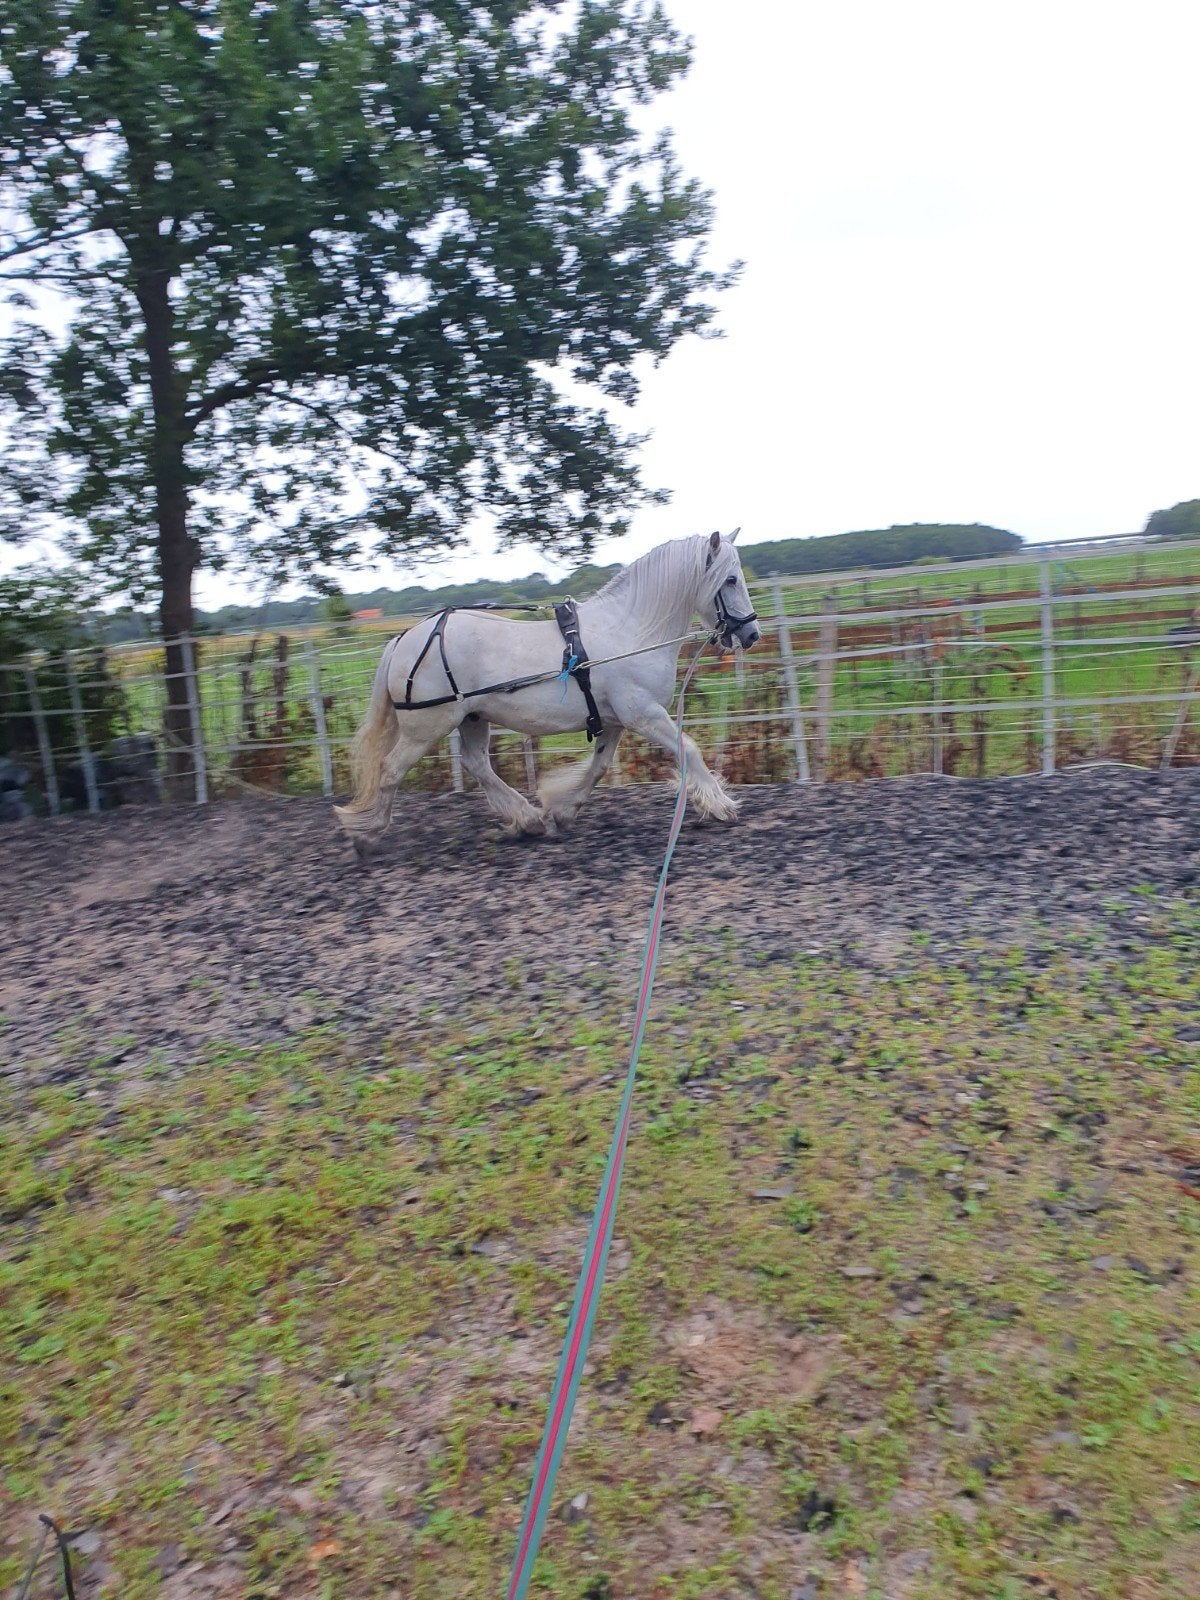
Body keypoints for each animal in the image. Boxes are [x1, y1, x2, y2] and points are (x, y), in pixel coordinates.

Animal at [334, 529, 761, 852]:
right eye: (730, 580)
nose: (752, 634)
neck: (631, 632)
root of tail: (404, 638)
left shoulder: (614, 721)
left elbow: (598, 767)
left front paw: (562, 810)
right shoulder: (644, 714)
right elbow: (689, 748)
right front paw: (721, 805)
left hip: (471, 718)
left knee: (476, 764)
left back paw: (527, 820)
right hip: (426, 727)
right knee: (391, 769)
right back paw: (367, 834)